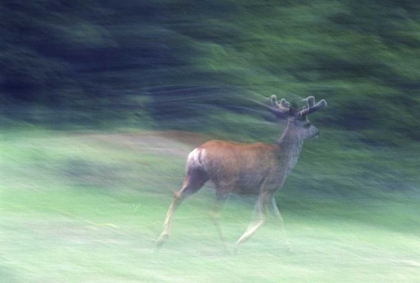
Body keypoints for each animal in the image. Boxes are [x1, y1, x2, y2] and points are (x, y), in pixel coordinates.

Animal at [156, 95, 326, 253]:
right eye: (308, 124)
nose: (317, 132)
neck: (284, 157)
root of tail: (198, 151)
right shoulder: (269, 185)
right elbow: (264, 217)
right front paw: (240, 242)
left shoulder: (265, 191)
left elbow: (277, 218)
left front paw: (289, 248)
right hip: (226, 180)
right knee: (214, 212)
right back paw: (226, 246)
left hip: (195, 175)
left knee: (178, 196)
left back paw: (161, 238)